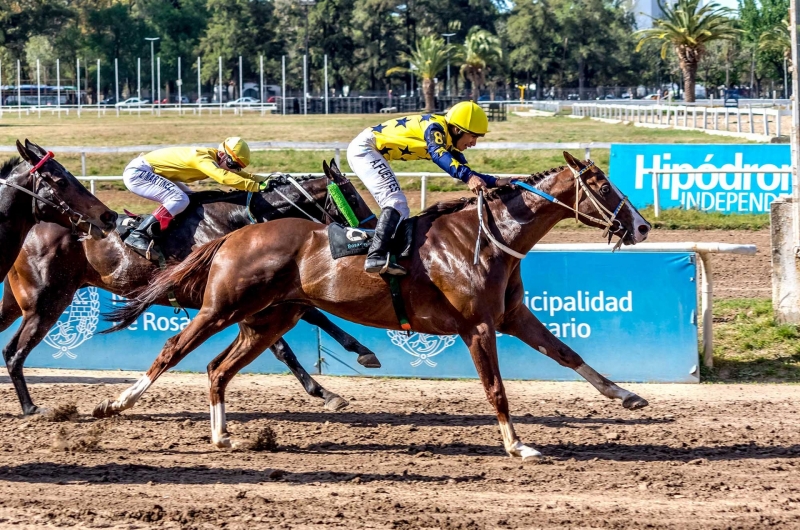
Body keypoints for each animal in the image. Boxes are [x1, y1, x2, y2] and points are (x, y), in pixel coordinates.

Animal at [0, 159, 376, 414]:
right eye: (352, 196)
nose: (373, 230)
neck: (236, 221)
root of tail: (32, 227)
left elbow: (312, 316)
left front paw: (359, 353)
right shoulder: (232, 300)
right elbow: (284, 346)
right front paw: (327, 389)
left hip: (18, 303)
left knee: (8, 348)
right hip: (48, 301)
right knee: (15, 352)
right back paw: (32, 408)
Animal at [104, 151, 648, 456]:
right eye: (602, 186)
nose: (641, 226)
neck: (486, 237)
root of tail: (234, 235)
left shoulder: (511, 316)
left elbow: (568, 354)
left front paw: (626, 395)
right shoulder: (477, 326)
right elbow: (495, 389)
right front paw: (517, 445)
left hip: (270, 318)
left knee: (218, 368)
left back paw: (222, 436)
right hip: (223, 307)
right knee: (174, 349)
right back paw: (117, 402)